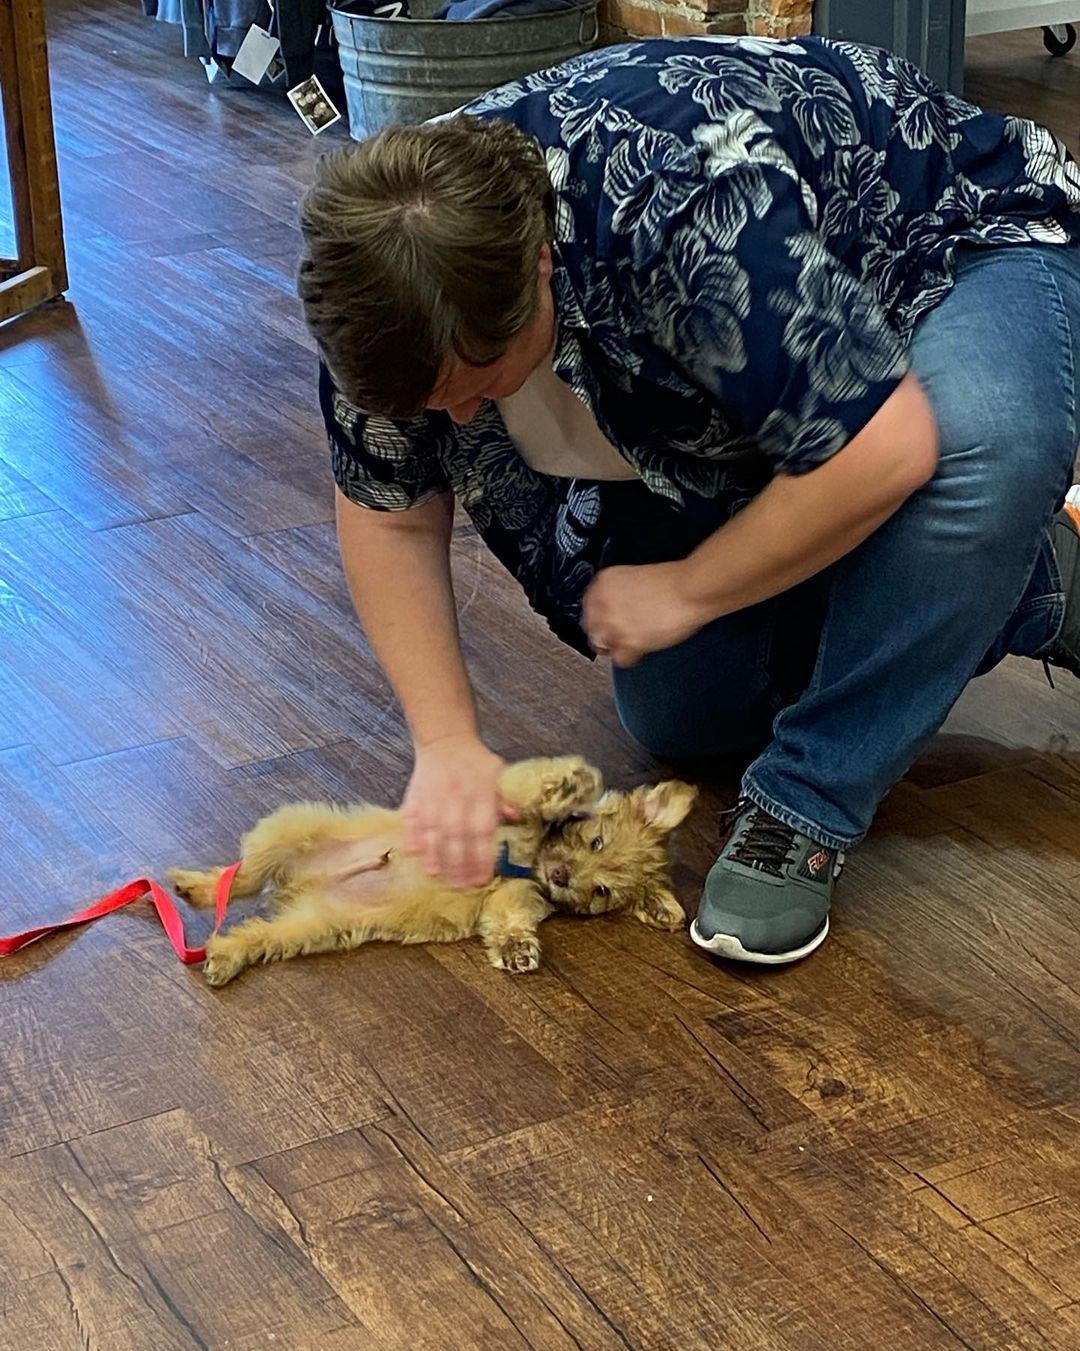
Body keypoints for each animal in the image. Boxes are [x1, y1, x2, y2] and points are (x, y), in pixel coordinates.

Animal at [165, 756, 697, 988]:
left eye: (602, 889)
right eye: (595, 840)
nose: (563, 876)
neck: (523, 865)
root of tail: (301, 884)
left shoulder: (513, 899)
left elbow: (509, 922)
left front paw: (518, 950)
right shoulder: (500, 807)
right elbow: (531, 798)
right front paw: (569, 784)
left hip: (310, 926)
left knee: (254, 931)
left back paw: (225, 955)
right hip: (289, 829)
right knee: (242, 876)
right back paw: (196, 887)